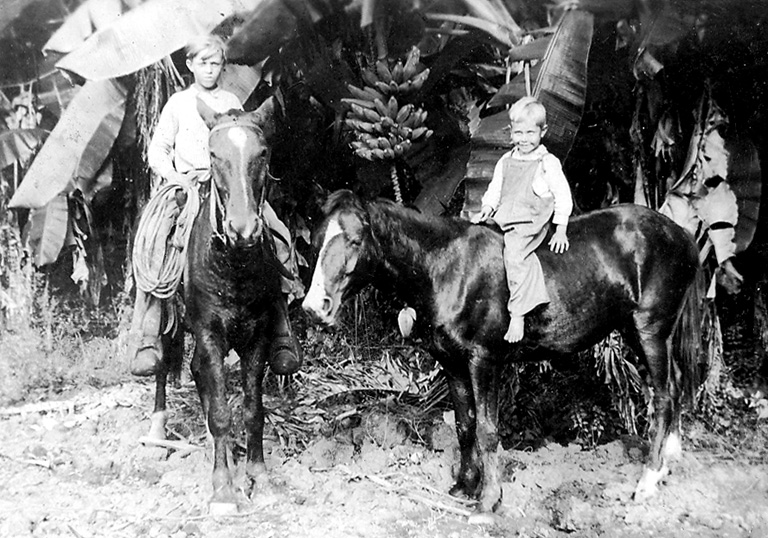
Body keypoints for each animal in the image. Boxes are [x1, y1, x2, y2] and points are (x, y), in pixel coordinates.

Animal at [300, 188, 704, 520]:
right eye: (317, 242)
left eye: (354, 240)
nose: (314, 307)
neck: (446, 267)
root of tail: (682, 235)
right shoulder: (452, 362)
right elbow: (464, 425)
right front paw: (464, 486)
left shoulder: (484, 360)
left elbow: (487, 430)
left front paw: (488, 501)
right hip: (645, 333)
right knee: (677, 384)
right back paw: (668, 462)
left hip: (649, 330)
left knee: (664, 396)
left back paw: (648, 480)